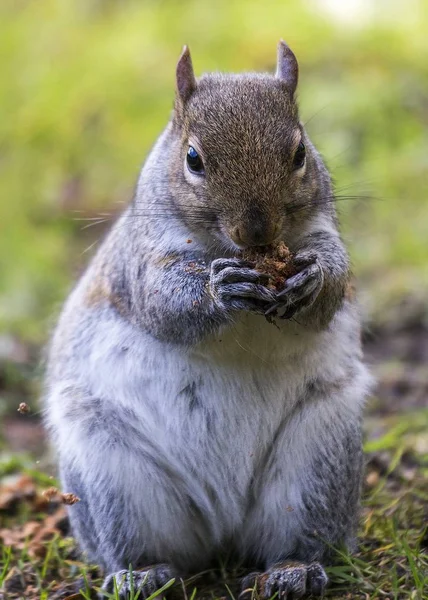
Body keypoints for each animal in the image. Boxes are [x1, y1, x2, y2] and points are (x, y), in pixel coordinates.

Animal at [42, 39, 372, 596]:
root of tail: (224, 530)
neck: (229, 251)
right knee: (139, 545)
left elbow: (330, 287)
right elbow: (163, 304)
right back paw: (140, 575)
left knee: (300, 534)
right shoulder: (141, 261)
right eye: (192, 159)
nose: (257, 231)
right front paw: (220, 291)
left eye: (300, 153)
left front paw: (312, 280)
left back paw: (293, 571)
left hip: (319, 457)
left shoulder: (322, 232)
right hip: (111, 473)